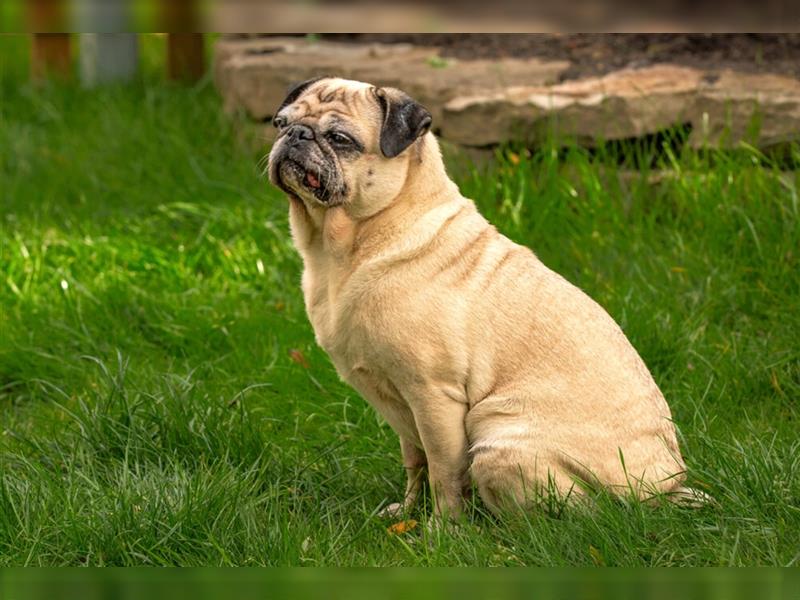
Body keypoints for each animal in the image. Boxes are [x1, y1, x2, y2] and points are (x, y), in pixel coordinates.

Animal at [268, 77, 700, 516]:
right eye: (280, 123)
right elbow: (415, 462)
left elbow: (443, 473)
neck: (344, 249)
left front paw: (442, 527)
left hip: (497, 443)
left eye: (340, 139)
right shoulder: (401, 410)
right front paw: (408, 513)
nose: (296, 134)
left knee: (579, 512)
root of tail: (662, 487)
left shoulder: (433, 396)